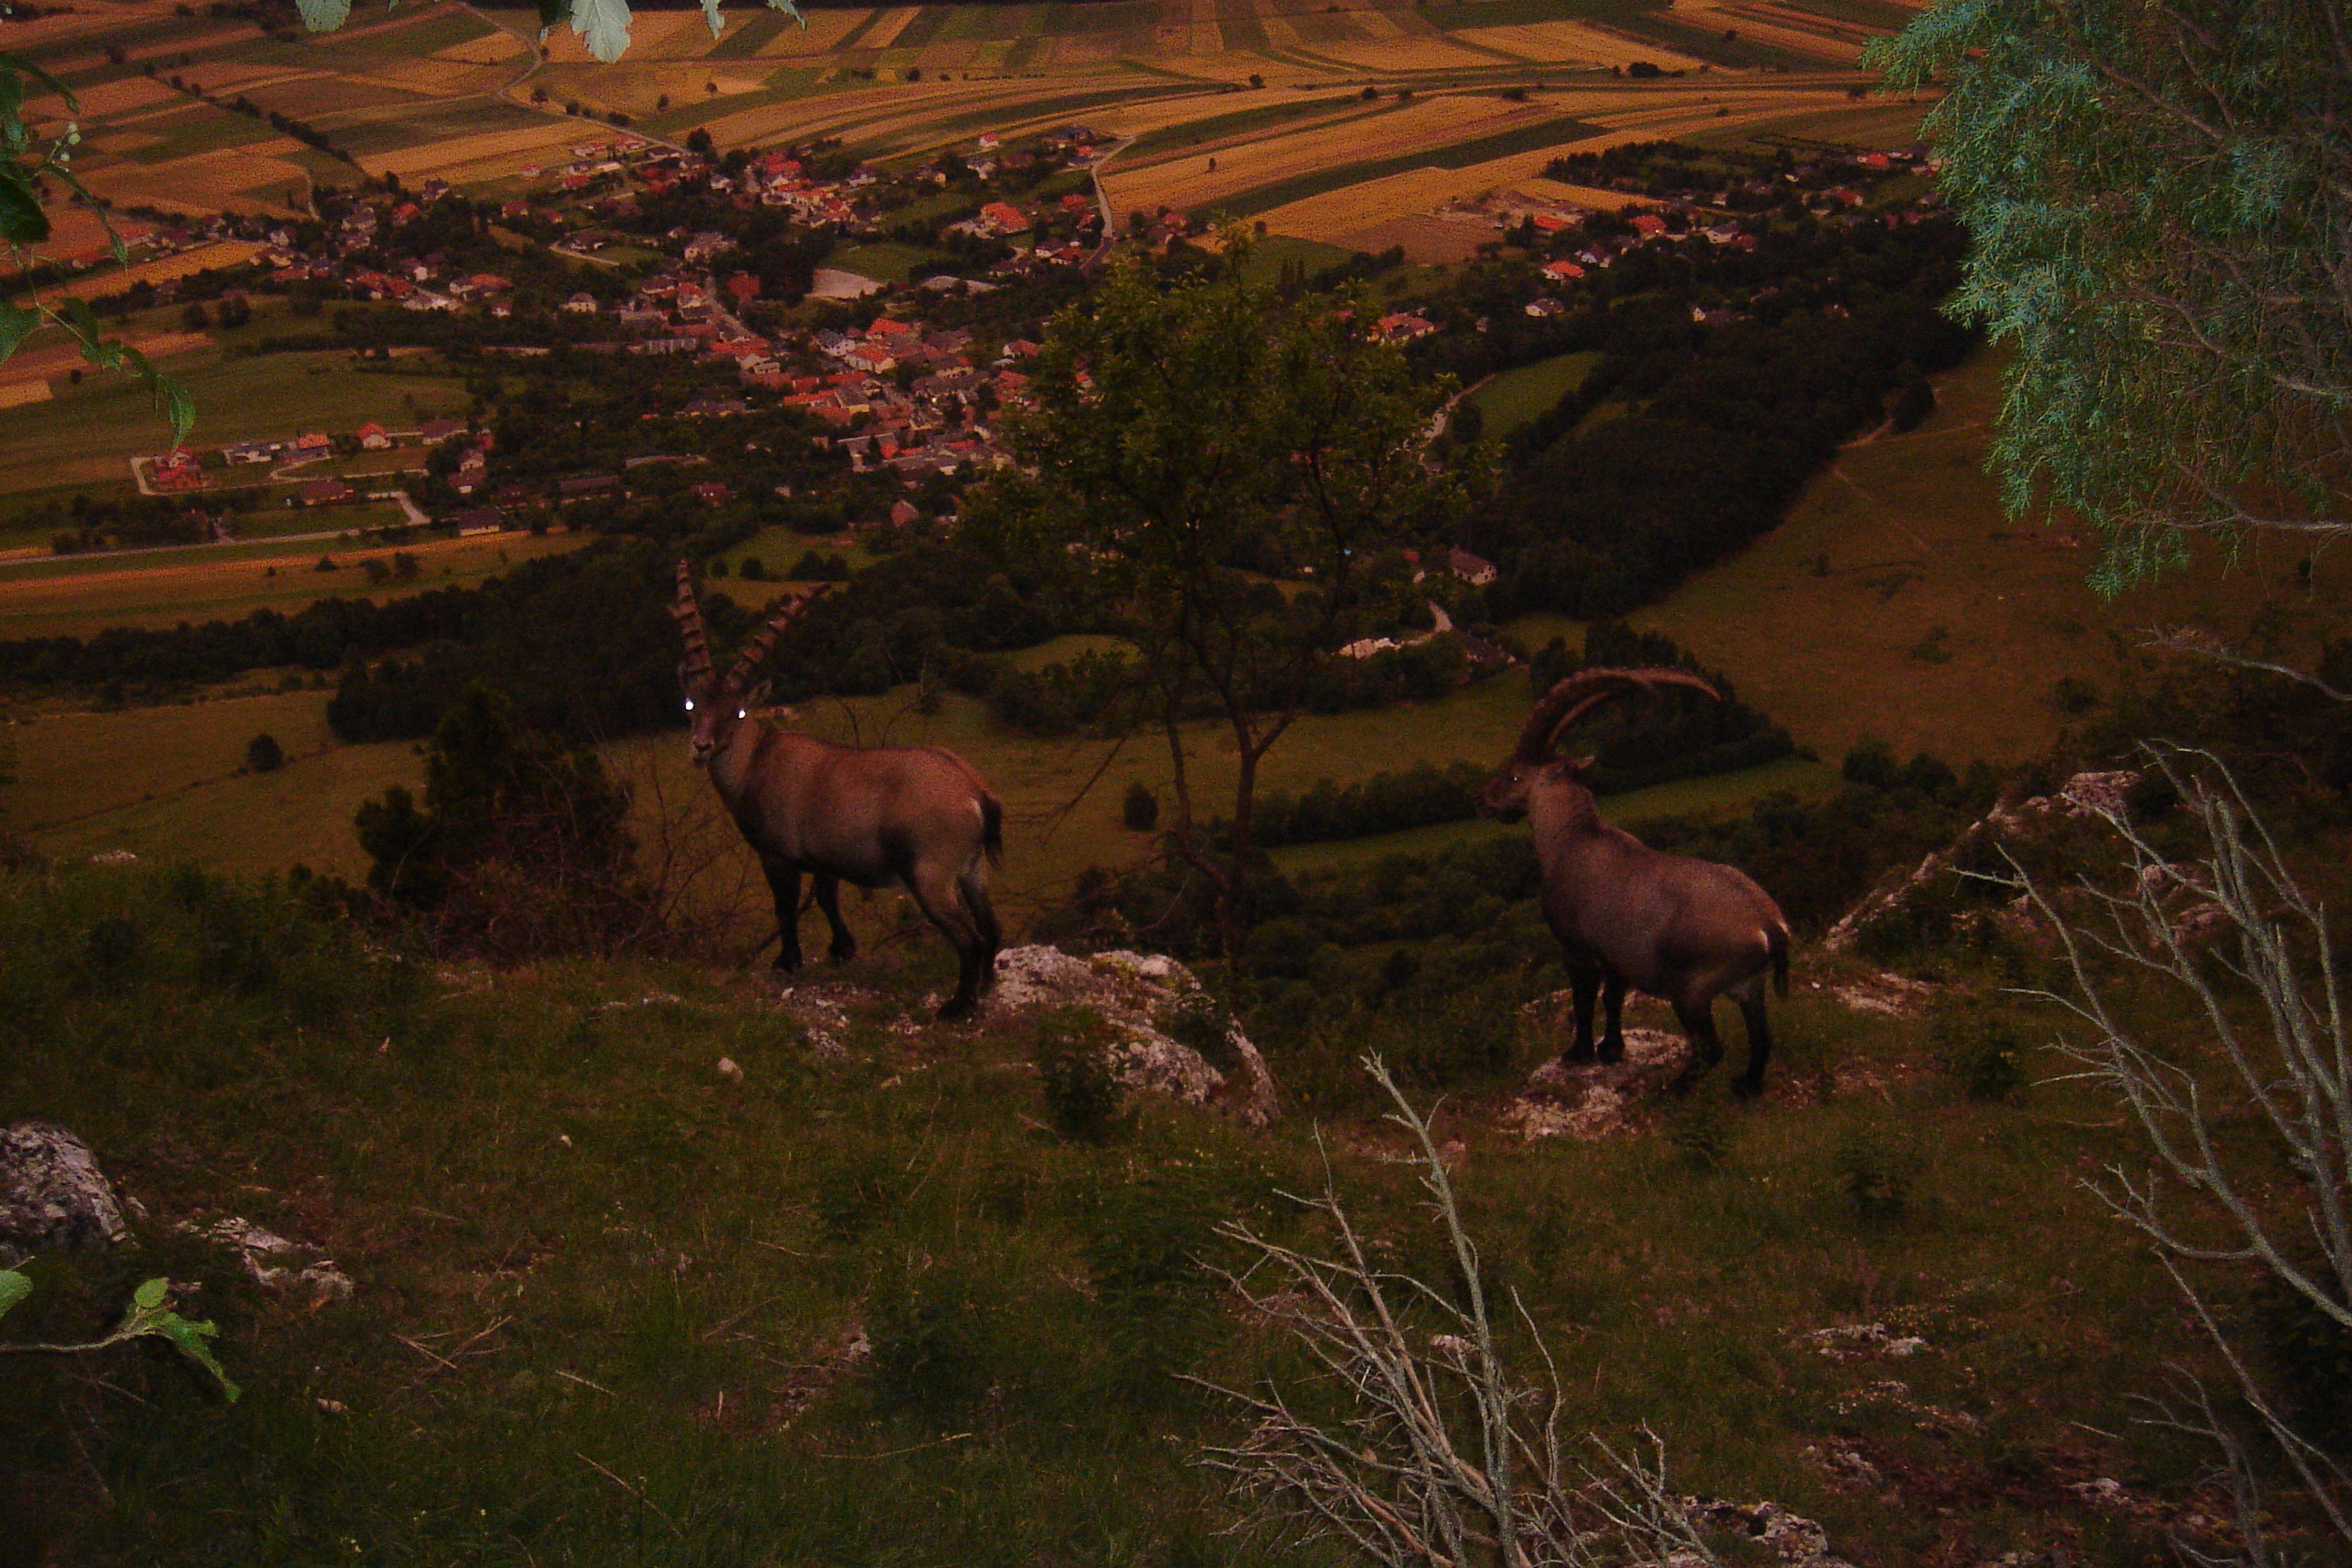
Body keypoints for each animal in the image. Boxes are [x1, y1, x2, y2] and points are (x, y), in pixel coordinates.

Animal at [672, 563, 1004, 1019]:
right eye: (691, 705)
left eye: (736, 712)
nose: (701, 746)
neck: (755, 760)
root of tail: (975, 792)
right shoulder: (824, 857)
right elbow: (828, 898)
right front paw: (842, 949)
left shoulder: (778, 855)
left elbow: (785, 906)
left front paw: (787, 962)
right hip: (973, 869)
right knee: (991, 927)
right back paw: (985, 986)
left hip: (931, 873)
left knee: (969, 938)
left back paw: (956, 1006)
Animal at [1477, 667, 1790, 1097]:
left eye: (1514, 774)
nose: (1483, 799)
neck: (1572, 839)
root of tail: (1769, 926)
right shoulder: (1616, 955)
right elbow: (1613, 999)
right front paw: (1611, 1050)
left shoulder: (1576, 947)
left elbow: (1584, 1000)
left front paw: (1578, 1054)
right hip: (1751, 987)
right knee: (1762, 1038)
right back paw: (1746, 1086)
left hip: (1691, 991)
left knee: (1710, 1048)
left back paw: (1669, 1093)